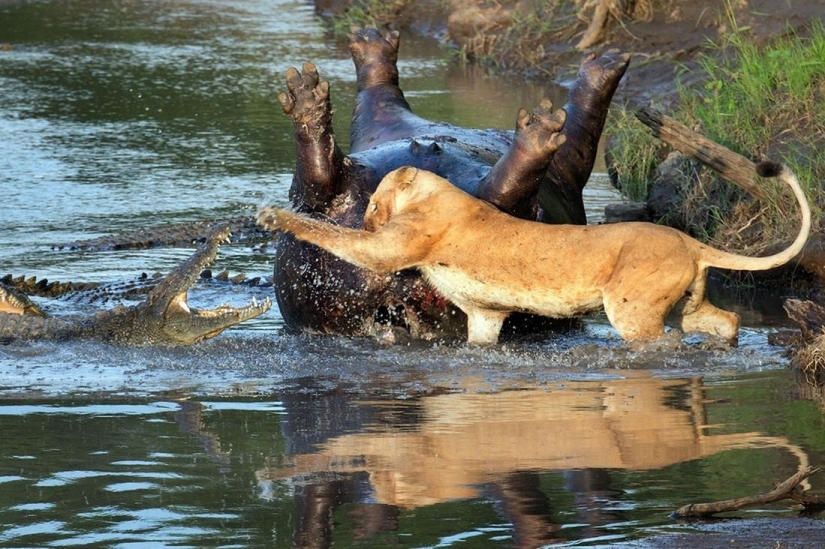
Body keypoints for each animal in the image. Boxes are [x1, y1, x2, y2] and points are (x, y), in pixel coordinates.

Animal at [257, 163, 811, 345]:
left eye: (373, 203)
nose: (369, 217)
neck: (437, 192)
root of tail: (689, 240)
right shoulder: (485, 314)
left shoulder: (390, 248)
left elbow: (330, 234)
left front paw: (272, 216)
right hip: (685, 305)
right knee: (725, 319)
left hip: (633, 309)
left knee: (663, 343)